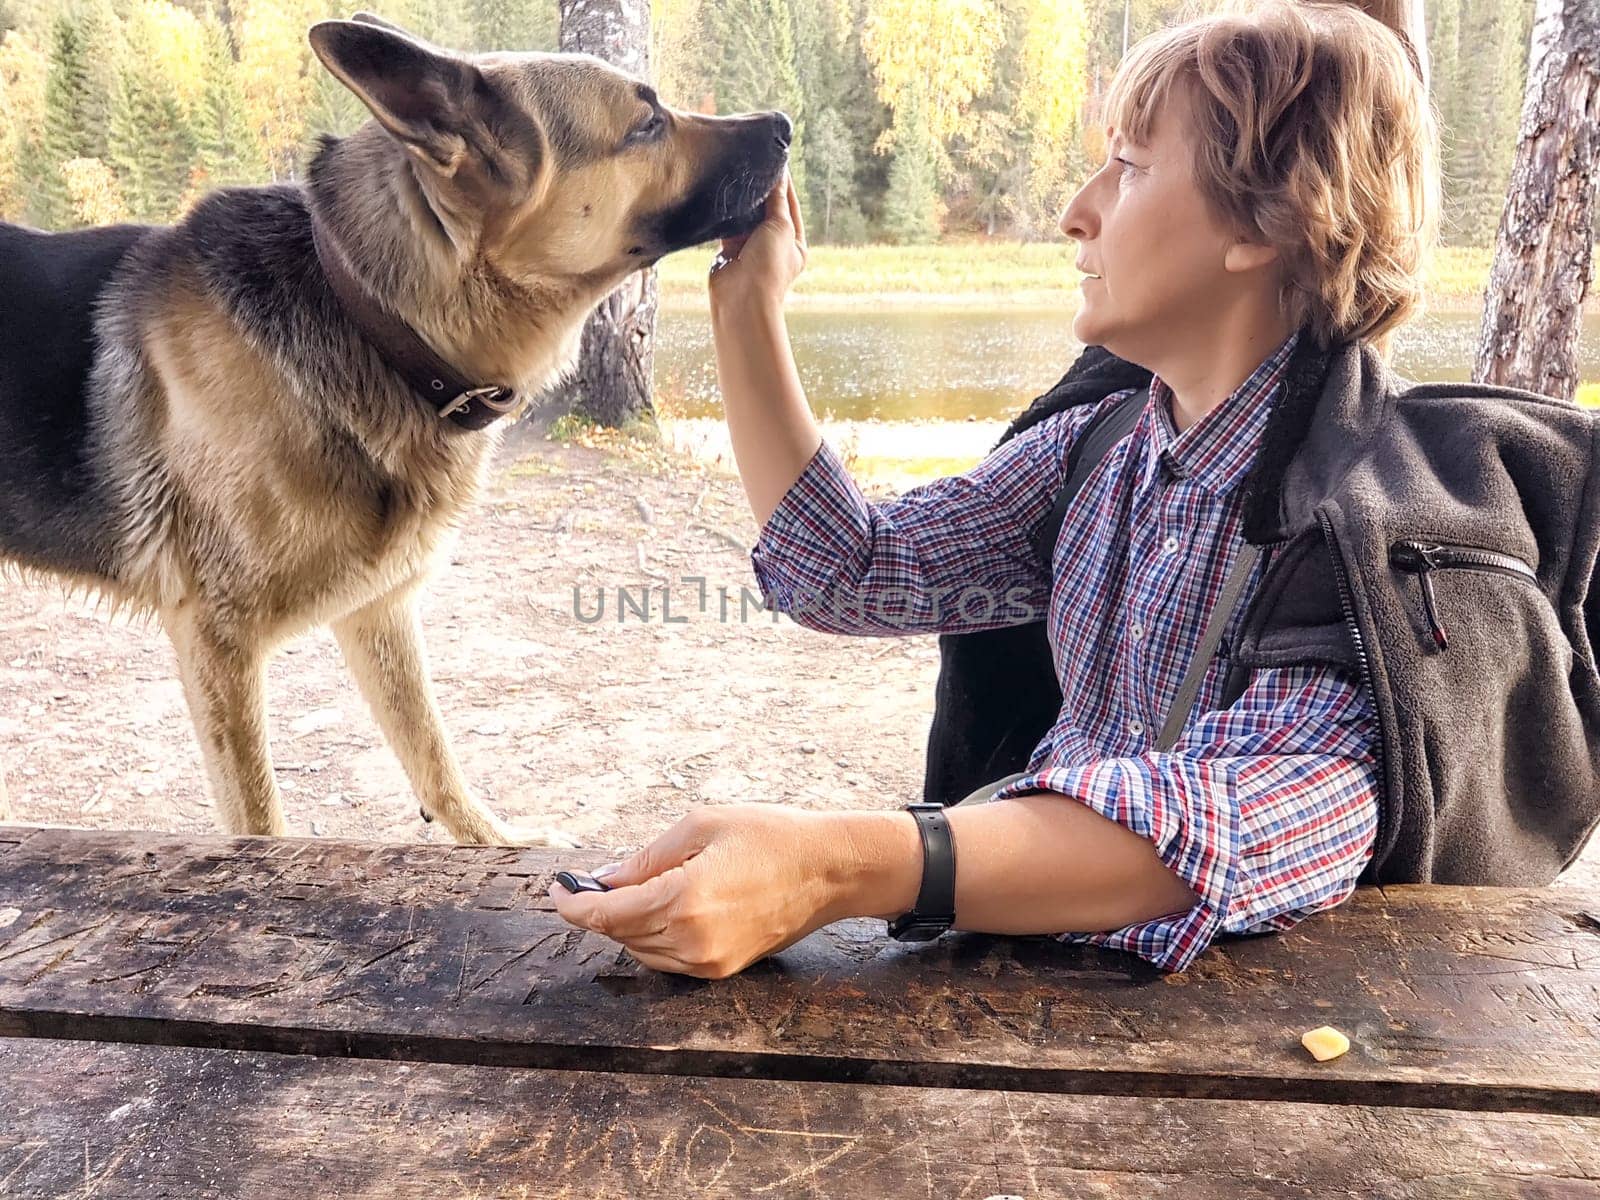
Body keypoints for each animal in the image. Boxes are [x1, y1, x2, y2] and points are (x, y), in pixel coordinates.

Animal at [0, 14, 793, 851]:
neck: (371, 319)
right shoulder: (218, 645)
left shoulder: (378, 608)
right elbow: (260, 822)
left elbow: (432, 752)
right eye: (646, 123)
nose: (784, 125)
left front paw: (495, 843)